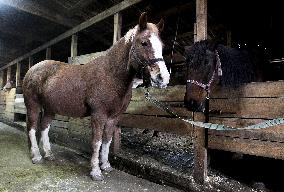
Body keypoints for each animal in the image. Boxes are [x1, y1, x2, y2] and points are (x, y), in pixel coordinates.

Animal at [22, 12, 169, 181]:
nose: (163, 78)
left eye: (162, 45)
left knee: (44, 127)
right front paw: (95, 171)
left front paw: (105, 166)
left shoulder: (114, 117)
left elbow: (107, 141)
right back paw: (36, 156)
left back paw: (48, 154)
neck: (111, 76)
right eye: (144, 43)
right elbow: (96, 142)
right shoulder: (98, 115)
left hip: (50, 108)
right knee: (32, 128)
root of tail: (32, 69)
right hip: (33, 105)